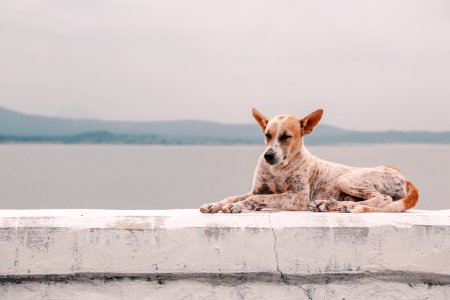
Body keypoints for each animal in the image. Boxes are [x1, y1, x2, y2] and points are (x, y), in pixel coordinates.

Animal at [200, 108, 418, 213]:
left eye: (286, 136)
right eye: (267, 135)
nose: (268, 156)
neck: (279, 169)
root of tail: (402, 176)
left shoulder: (297, 197)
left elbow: (255, 200)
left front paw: (235, 207)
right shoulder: (258, 189)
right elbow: (234, 197)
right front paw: (216, 204)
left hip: (347, 179)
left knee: (383, 199)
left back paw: (344, 206)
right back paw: (331, 204)